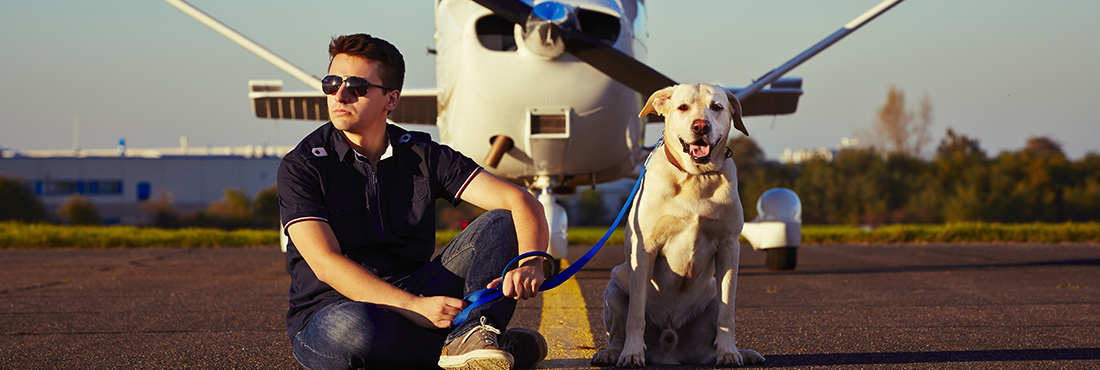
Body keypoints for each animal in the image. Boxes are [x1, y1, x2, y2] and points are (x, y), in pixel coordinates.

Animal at [594, 84, 765, 367]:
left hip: (711, 295)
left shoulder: (729, 246)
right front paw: (632, 354)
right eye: (683, 107)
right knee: (617, 330)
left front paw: (729, 352)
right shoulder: (645, 248)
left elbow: (727, 314)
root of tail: (669, 350)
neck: (695, 178)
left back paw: (744, 353)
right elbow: (636, 314)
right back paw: (611, 353)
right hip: (614, 288)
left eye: (717, 107)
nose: (700, 126)